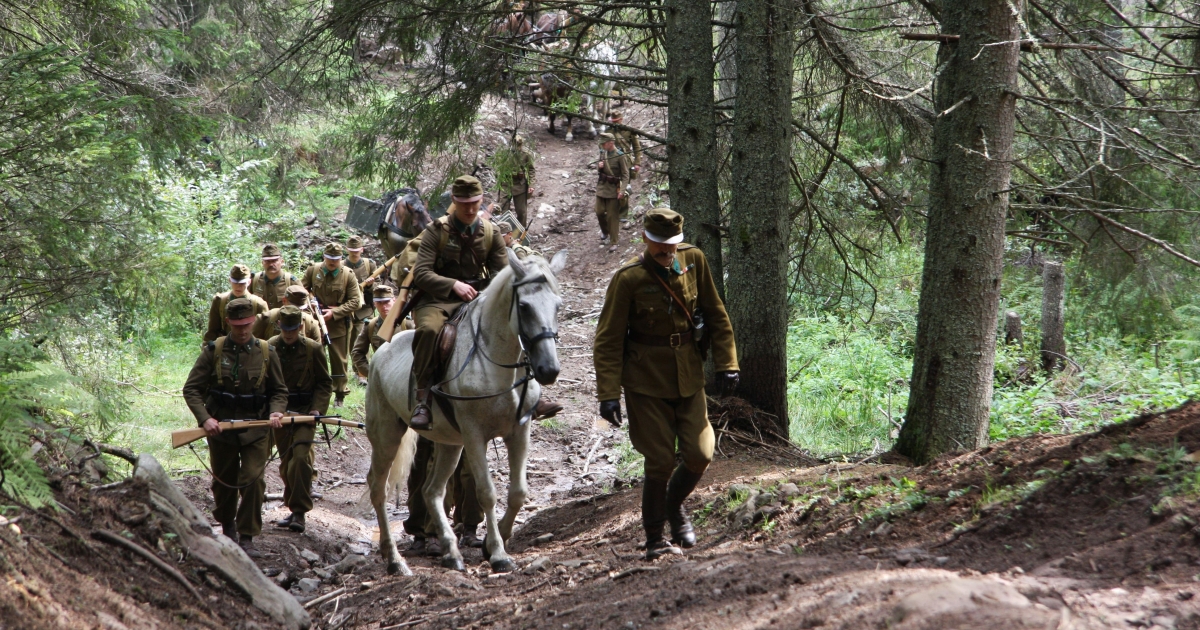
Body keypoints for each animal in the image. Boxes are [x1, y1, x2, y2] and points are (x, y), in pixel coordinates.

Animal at [360, 248, 566, 571]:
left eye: (558, 305)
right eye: (524, 306)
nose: (549, 370)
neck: (495, 362)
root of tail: (382, 350)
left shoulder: (519, 432)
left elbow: (518, 492)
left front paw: (495, 540)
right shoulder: (474, 436)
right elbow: (487, 493)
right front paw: (498, 553)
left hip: (449, 444)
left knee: (432, 491)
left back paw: (451, 552)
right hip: (387, 436)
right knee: (378, 487)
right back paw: (394, 559)